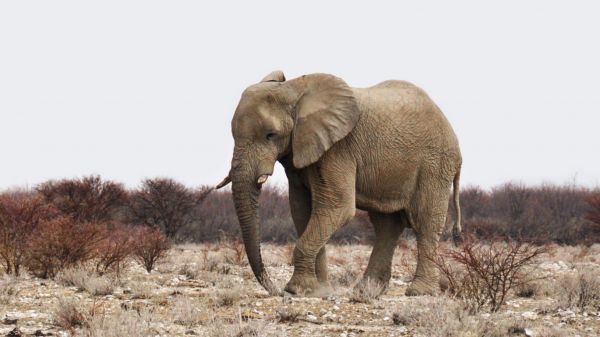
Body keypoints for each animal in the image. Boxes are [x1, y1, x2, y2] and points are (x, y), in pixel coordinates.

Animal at [218, 71, 462, 296]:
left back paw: (419, 292)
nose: (275, 290)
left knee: (425, 221)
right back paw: (365, 292)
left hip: (434, 164)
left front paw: (296, 290)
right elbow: (301, 210)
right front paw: (318, 291)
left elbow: (338, 207)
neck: (295, 90)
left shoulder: (338, 148)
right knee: (386, 226)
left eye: (271, 135)